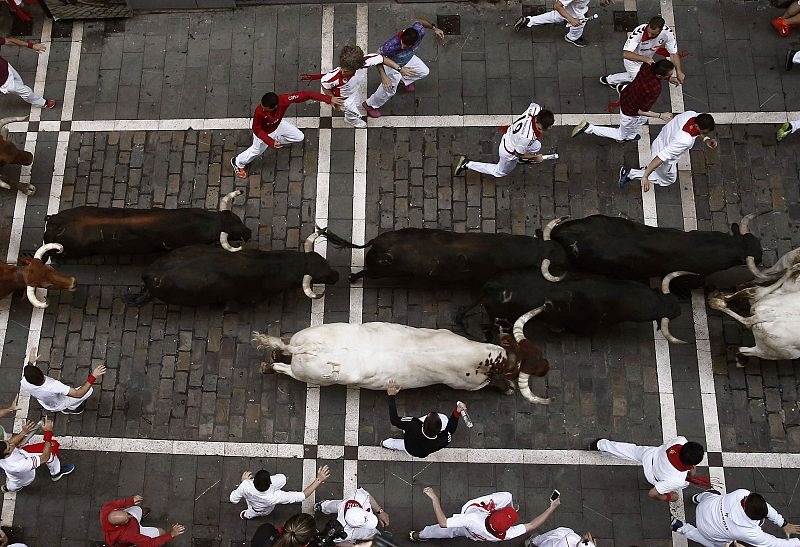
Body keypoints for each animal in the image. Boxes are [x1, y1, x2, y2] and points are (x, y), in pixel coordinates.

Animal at [253, 324, 552, 404]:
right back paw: (270, 366)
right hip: (310, 375)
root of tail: (308, 348)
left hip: (306, 339)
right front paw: (507, 388)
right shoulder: (467, 385)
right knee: (285, 369)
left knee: (283, 344)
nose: (547, 367)